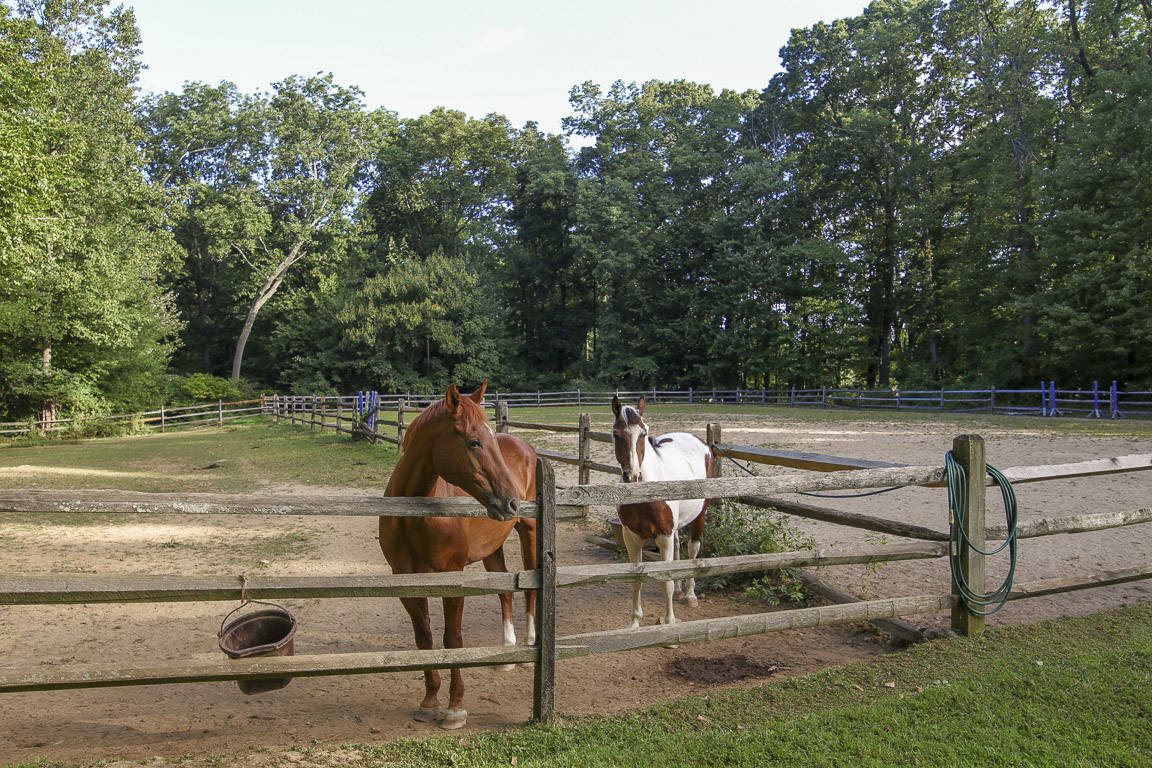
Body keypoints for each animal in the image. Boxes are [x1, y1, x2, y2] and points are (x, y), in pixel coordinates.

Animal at [381, 382, 537, 730]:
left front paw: (455, 708)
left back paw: (531, 644)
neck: (414, 514)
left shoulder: (452, 579)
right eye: (474, 441)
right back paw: (506, 653)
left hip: (531, 534)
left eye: (488, 439)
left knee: (531, 590)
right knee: (505, 592)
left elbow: (453, 640)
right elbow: (424, 639)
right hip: (493, 548)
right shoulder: (406, 580)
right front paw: (429, 702)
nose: (511, 501)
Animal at [611, 395, 714, 628]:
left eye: (643, 433)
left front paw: (669, 622)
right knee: (678, 548)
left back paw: (690, 595)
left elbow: (665, 583)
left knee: (693, 549)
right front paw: (634, 623)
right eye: (616, 434)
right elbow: (636, 581)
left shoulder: (663, 536)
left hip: (700, 515)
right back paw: (679, 591)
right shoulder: (631, 537)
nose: (633, 476)